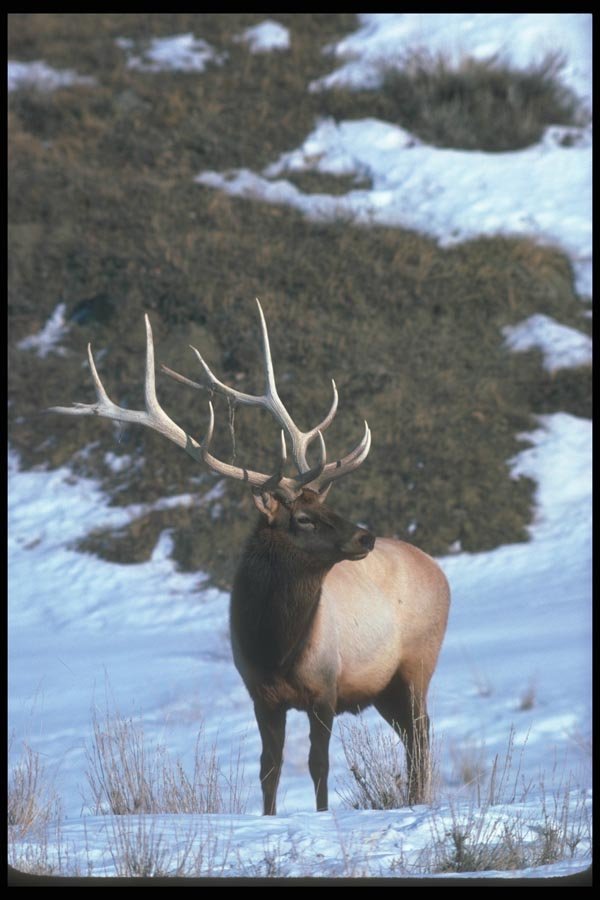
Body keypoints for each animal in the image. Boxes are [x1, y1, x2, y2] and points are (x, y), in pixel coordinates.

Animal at [49, 299, 450, 814]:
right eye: (304, 517)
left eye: (328, 506)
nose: (366, 537)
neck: (274, 646)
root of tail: (438, 570)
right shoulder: (261, 695)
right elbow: (270, 770)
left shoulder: (326, 686)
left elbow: (319, 766)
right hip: (385, 688)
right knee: (412, 737)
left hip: (418, 662)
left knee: (421, 736)